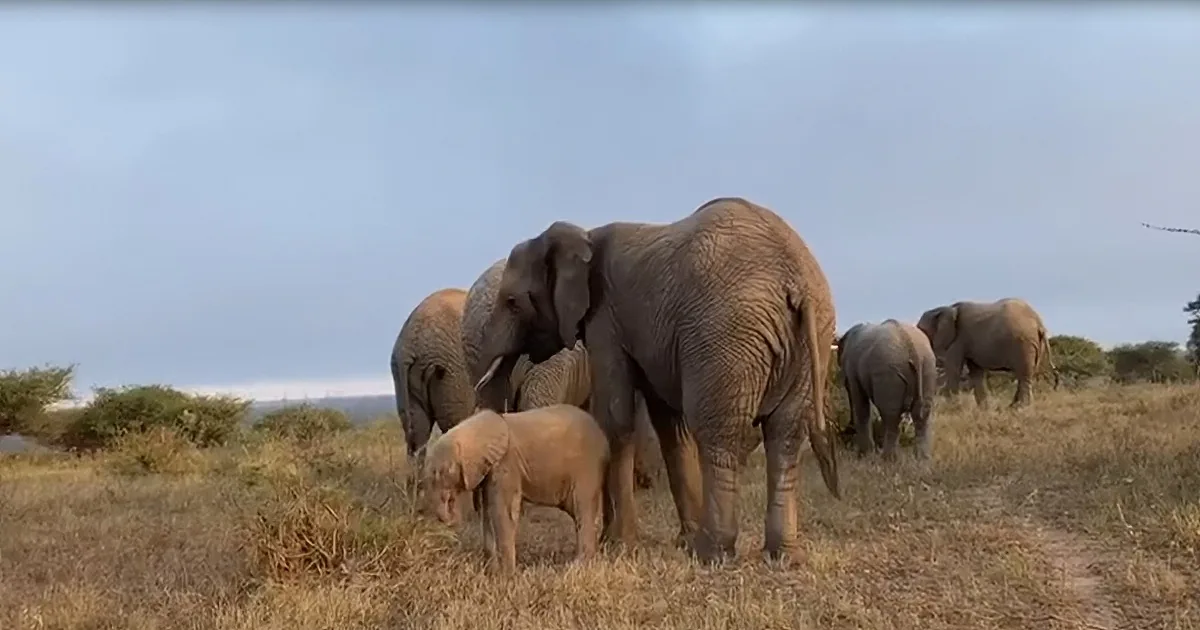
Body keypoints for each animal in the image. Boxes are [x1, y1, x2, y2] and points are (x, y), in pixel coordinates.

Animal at [421, 405, 609, 574]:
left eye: (442, 473)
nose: (452, 517)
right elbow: (487, 513)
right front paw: (492, 573)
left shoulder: (506, 464)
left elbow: (502, 512)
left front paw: (507, 576)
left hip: (587, 468)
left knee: (582, 510)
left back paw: (578, 566)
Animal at [836, 320, 938, 460]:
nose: (847, 430)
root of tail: (911, 347)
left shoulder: (852, 367)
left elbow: (861, 404)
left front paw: (865, 455)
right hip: (928, 368)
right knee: (921, 416)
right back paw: (922, 460)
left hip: (890, 373)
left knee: (891, 417)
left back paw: (888, 460)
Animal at [916, 297, 1057, 408]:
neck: (945, 309)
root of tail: (1039, 323)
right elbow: (976, 372)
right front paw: (984, 409)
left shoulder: (958, 340)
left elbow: (954, 369)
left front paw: (953, 408)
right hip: (1034, 345)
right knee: (1027, 373)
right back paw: (1012, 406)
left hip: (1024, 343)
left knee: (1024, 374)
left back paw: (1020, 408)